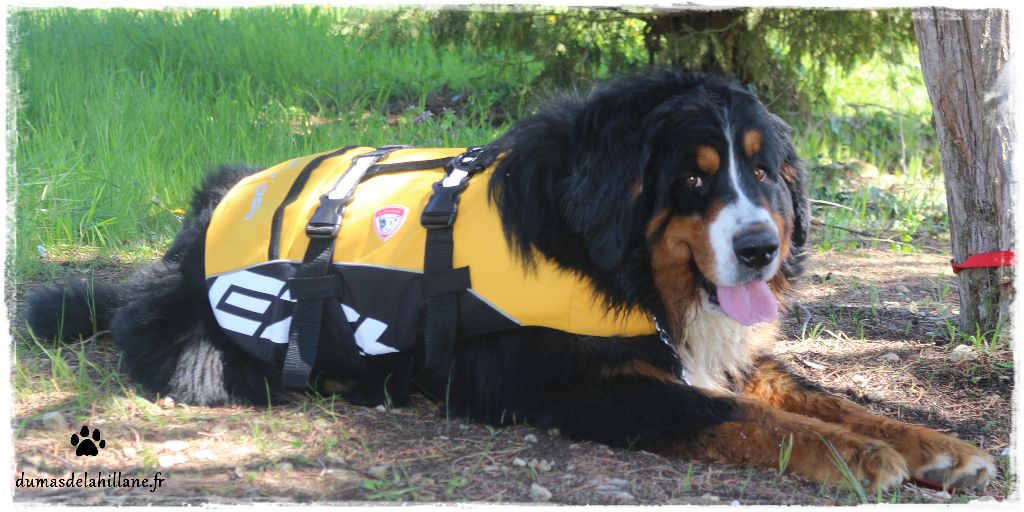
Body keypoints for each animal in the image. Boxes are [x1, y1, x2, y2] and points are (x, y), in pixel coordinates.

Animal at [25, 71, 994, 493]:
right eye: (692, 180)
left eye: (764, 172)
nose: (759, 246)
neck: (607, 255)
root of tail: (186, 237)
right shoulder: (579, 383)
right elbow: (745, 417)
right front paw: (861, 458)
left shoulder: (694, 346)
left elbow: (819, 395)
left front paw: (928, 442)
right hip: (213, 358)